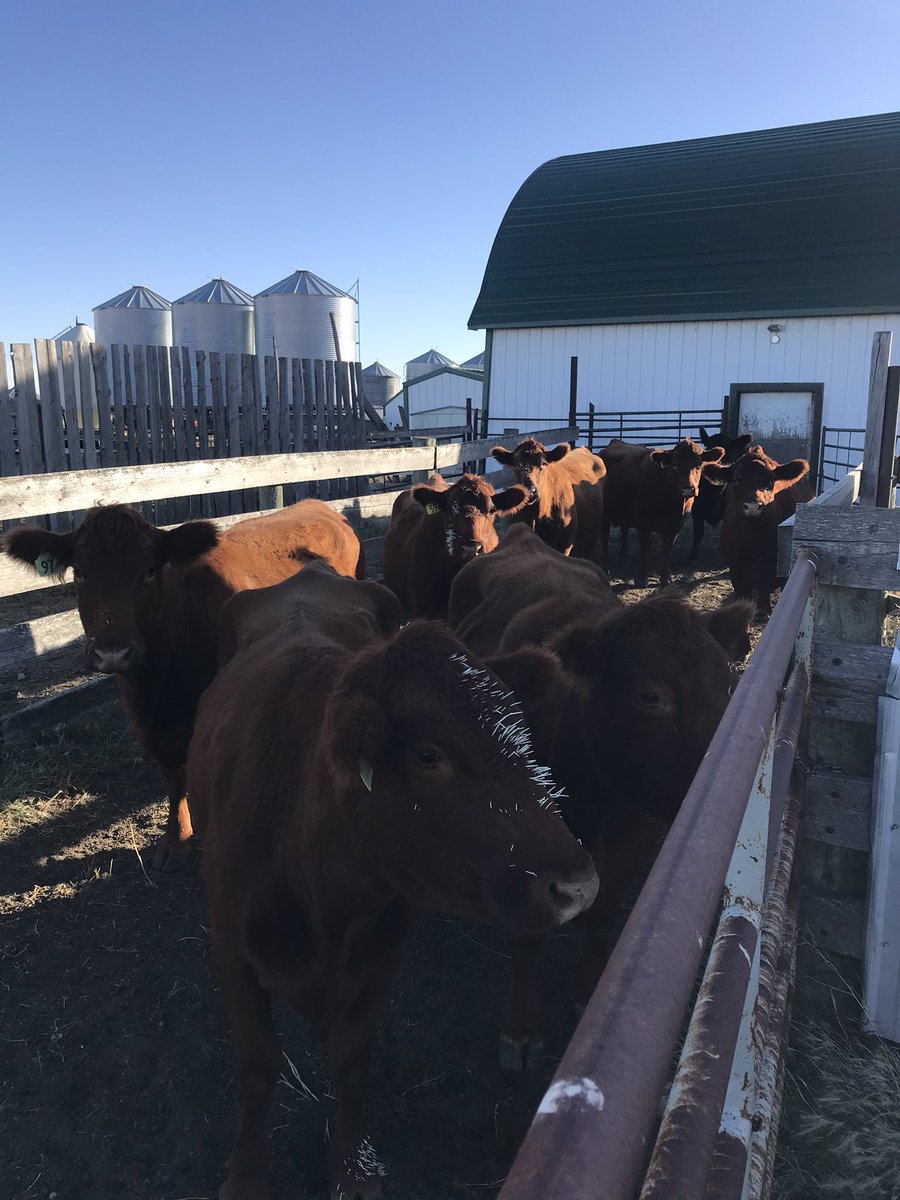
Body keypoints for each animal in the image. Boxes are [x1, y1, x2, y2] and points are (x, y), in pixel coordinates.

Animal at [2, 500, 364, 871]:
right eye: (79, 572)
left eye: (149, 570)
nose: (112, 652)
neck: (160, 680)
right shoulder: (145, 717)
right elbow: (173, 775)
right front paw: (176, 839)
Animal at [187, 581, 599, 1200]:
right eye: (428, 754)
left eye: (521, 735)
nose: (577, 884)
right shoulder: (231, 952)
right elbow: (258, 1068)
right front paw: (246, 1176)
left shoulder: (382, 951)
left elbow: (351, 1059)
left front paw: (352, 1171)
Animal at [449, 523, 754, 1066]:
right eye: (651, 696)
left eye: (727, 683)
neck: (596, 796)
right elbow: (528, 936)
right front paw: (520, 1029)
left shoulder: (638, 833)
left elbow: (604, 917)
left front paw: (590, 993)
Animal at [599, 437, 726, 585]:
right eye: (675, 465)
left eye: (699, 464)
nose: (688, 489)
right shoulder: (643, 521)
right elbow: (646, 546)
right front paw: (642, 578)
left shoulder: (677, 524)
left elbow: (667, 548)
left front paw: (666, 578)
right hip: (605, 515)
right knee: (604, 540)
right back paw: (605, 570)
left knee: (624, 530)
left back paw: (623, 556)